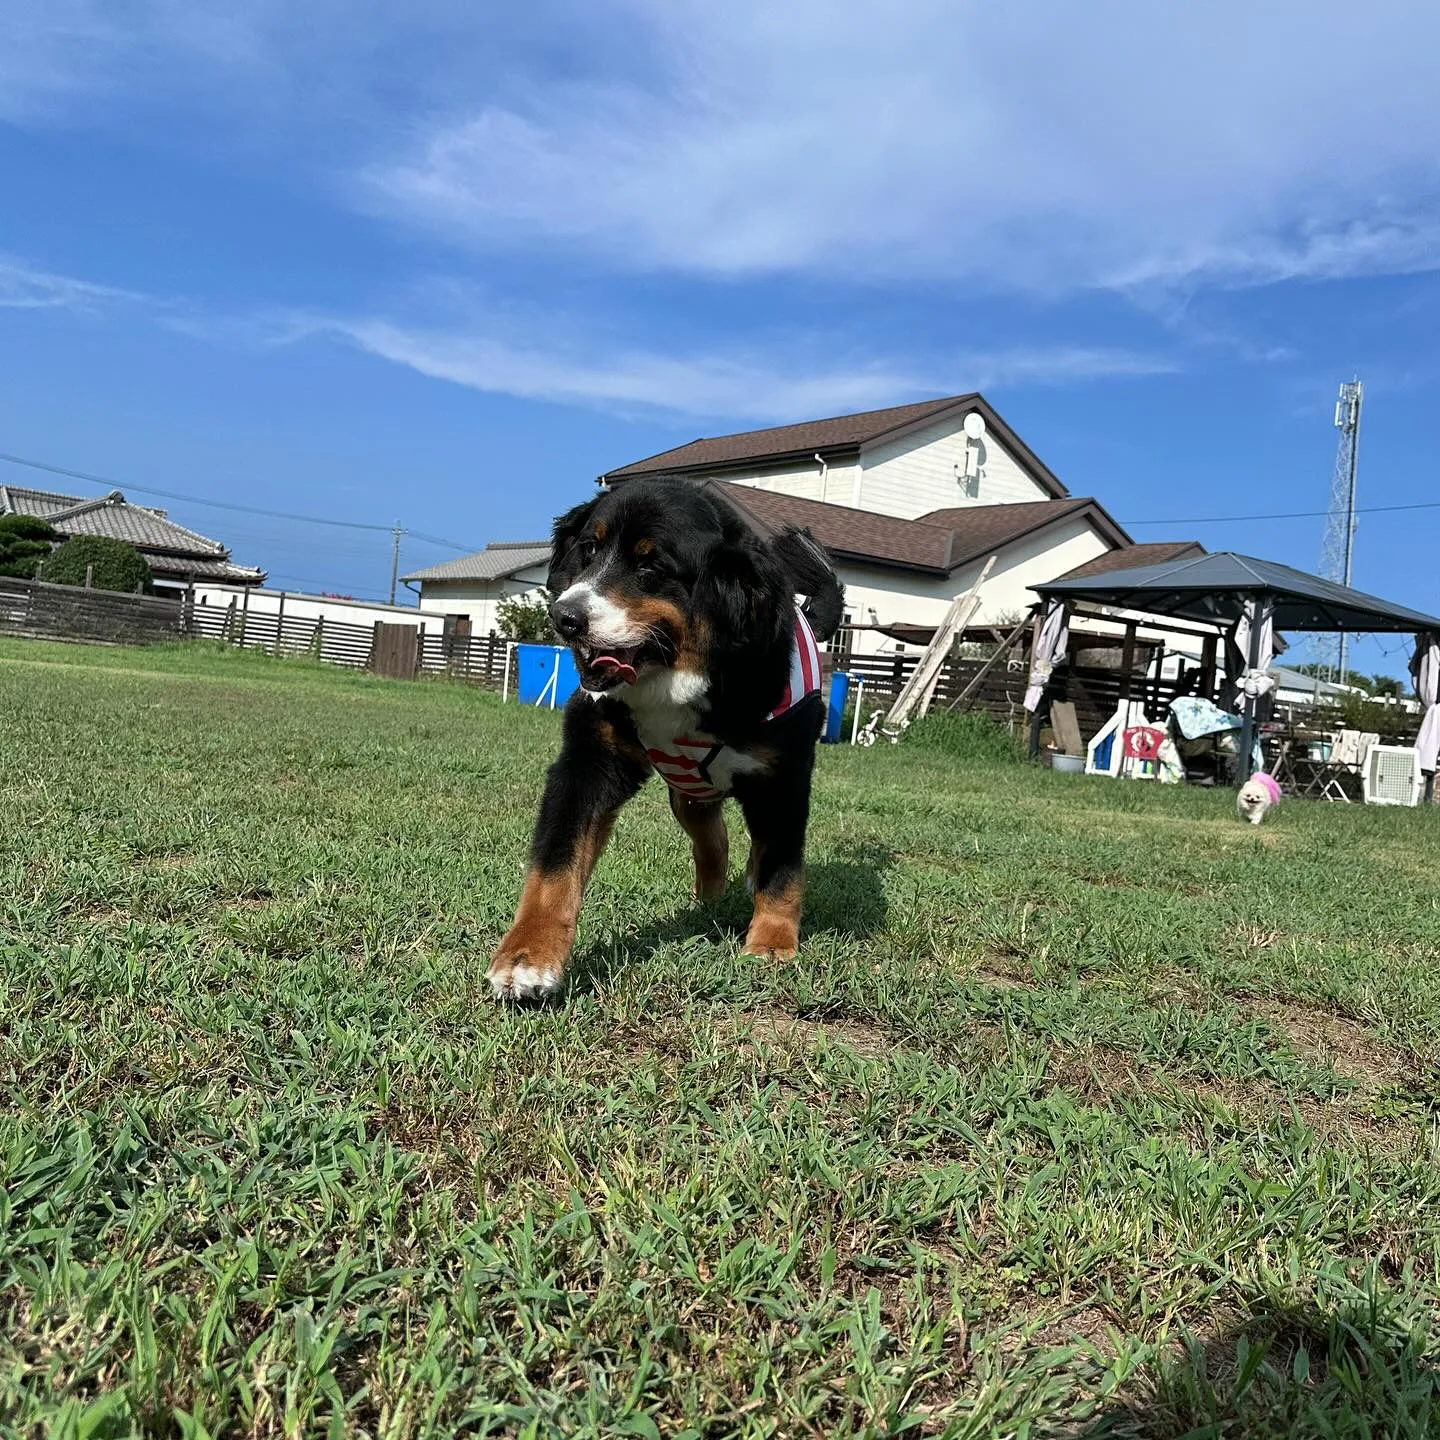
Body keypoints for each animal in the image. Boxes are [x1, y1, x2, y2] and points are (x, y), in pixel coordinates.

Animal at [489, 478, 840, 996]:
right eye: (589, 549)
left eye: (651, 565)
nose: (564, 617)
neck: (679, 686)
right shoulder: (588, 762)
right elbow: (554, 865)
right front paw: (527, 956)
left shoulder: (784, 780)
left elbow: (783, 869)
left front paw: (772, 943)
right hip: (689, 795)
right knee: (713, 842)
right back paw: (708, 900)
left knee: (759, 848)